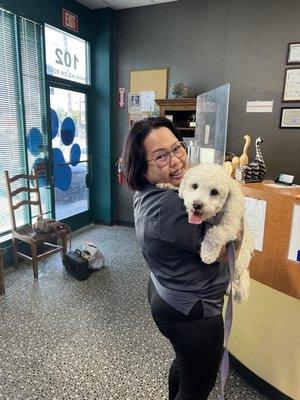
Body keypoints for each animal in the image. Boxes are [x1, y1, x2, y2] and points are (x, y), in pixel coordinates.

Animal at [178, 164, 255, 302]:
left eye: (214, 192)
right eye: (194, 186)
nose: (197, 204)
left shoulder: (230, 226)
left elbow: (215, 234)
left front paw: (208, 254)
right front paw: (165, 184)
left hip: (239, 262)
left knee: (235, 278)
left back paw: (231, 287)